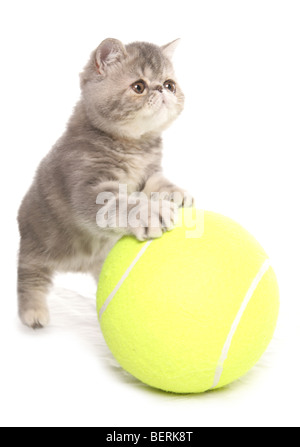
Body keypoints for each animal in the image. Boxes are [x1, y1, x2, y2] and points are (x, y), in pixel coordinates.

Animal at [17, 38, 193, 328]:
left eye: (170, 84)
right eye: (139, 86)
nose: (161, 90)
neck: (134, 146)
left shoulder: (150, 171)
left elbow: (157, 181)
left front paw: (174, 192)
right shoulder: (86, 185)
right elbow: (121, 204)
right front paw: (150, 212)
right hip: (35, 246)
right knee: (30, 276)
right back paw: (33, 312)